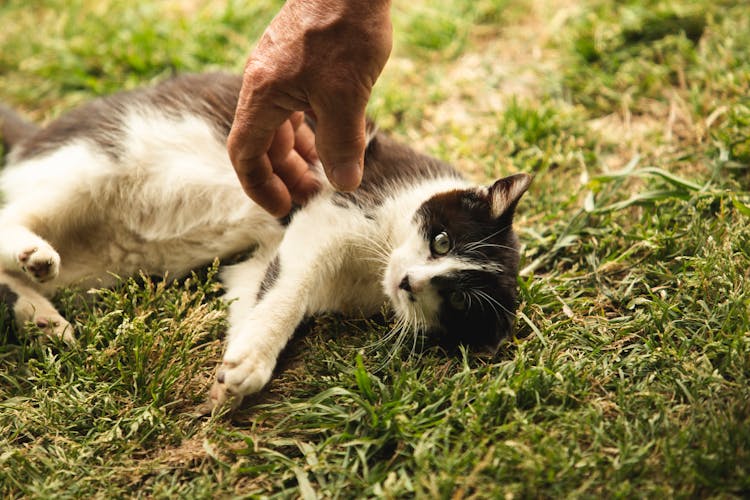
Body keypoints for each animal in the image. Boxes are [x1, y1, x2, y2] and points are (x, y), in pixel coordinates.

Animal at [0, 74, 532, 410]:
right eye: (440, 240)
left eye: (458, 301)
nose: (408, 281)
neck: (374, 264)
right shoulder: (331, 210)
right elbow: (287, 294)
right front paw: (251, 364)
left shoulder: (260, 261)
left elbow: (256, 294)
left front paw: (235, 375)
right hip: (89, 167)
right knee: (14, 214)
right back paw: (34, 256)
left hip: (103, 260)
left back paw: (42, 318)